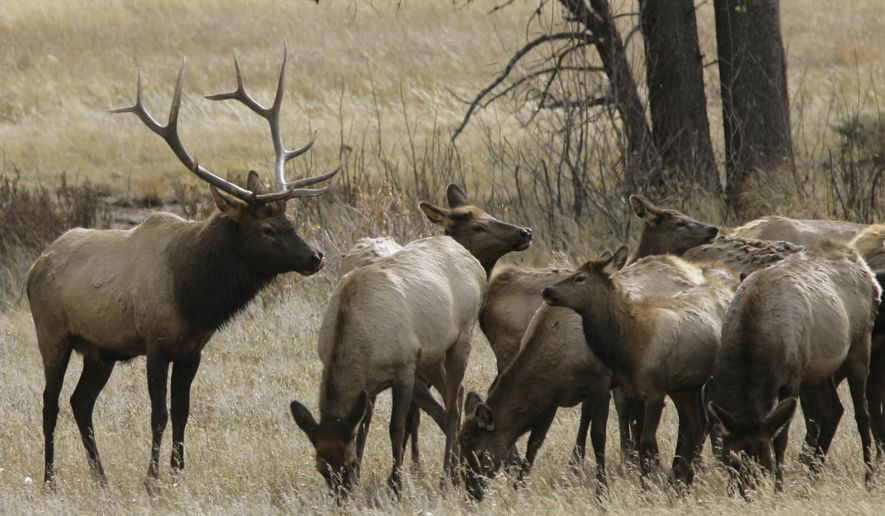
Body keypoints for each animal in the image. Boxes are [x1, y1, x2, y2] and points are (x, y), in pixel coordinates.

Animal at [27, 50, 347, 487]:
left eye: (291, 220)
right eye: (267, 229)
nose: (315, 257)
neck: (195, 295)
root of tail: (35, 267)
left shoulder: (193, 348)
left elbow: (182, 411)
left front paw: (179, 472)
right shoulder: (155, 342)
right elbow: (158, 414)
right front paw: (152, 479)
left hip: (100, 350)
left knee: (81, 402)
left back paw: (101, 476)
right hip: (53, 334)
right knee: (50, 402)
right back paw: (49, 478)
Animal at [289, 184, 532, 495]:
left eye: (349, 464)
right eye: (321, 468)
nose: (342, 498)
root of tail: (466, 255)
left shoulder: (404, 367)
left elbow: (396, 427)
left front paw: (396, 485)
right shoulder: (372, 385)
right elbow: (364, 426)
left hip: (461, 338)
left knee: (453, 403)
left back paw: (448, 475)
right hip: (431, 354)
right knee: (452, 396)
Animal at [541, 247, 735, 486]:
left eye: (580, 278)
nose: (547, 290)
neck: (632, 348)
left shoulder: (656, 390)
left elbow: (646, 441)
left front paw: (646, 484)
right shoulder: (635, 389)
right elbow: (637, 437)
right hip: (686, 385)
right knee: (696, 422)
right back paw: (681, 478)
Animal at [706, 242, 881, 494]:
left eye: (765, 462)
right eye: (732, 459)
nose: (747, 493)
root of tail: (862, 264)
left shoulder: (793, 376)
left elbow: (781, 437)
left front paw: (779, 488)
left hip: (858, 345)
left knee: (862, 414)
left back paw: (868, 477)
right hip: (818, 370)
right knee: (833, 410)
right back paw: (812, 476)